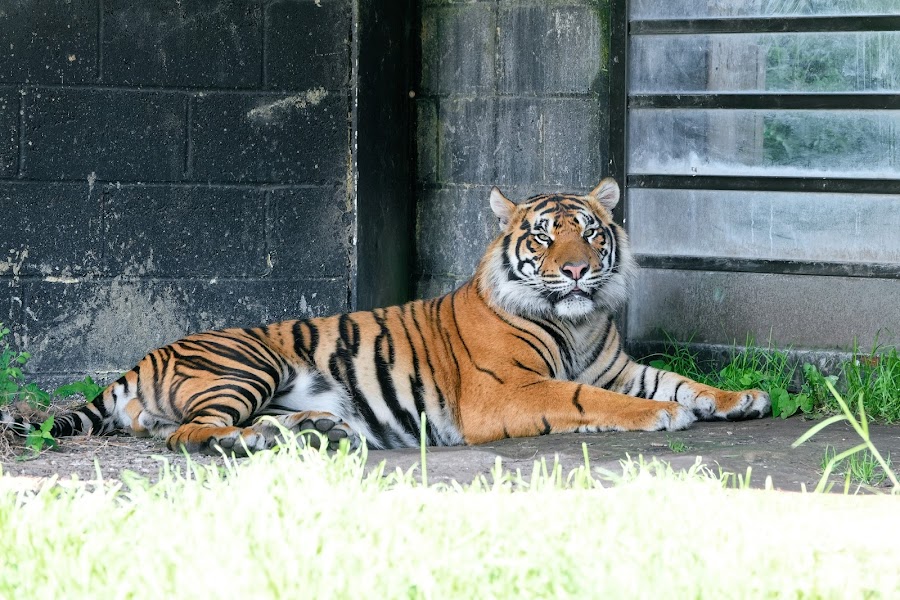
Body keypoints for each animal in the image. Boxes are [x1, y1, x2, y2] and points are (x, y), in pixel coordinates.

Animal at [3, 178, 770, 455]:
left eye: (589, 231)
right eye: (543, 238)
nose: (578, 270)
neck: (578, 320)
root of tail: (143, 359)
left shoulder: (618, 365)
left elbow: (674, 379)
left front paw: (740, 398)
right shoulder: (505, 392)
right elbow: (591, 399)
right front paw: (666, 417)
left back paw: (315, 433)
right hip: (246, 364)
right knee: (188, 434)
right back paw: (258, 442)